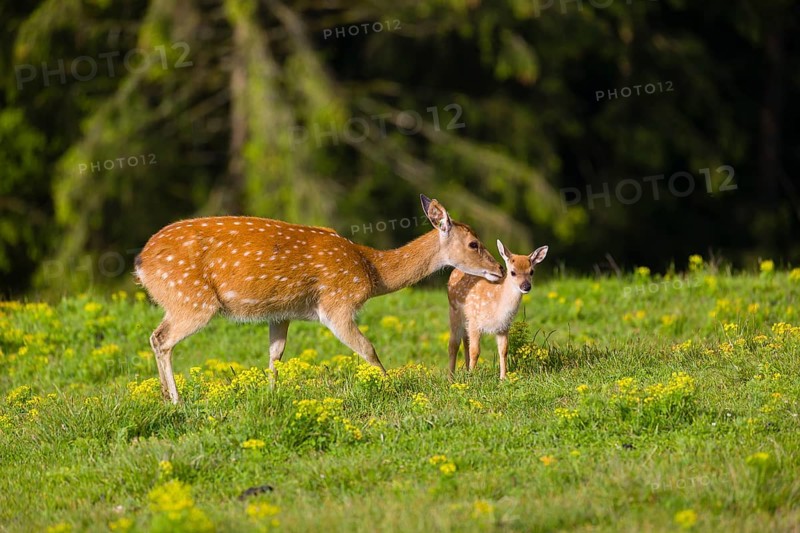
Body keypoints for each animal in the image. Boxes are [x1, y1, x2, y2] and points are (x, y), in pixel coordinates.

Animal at [134, 194, 504, 403]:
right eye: (474, 244)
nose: (500, 269)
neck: (370, 270)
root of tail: (141, 262)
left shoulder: (280, 312)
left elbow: (275, 355)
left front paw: (271, 395)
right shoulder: (336, 302)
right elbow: (367, 348)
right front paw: (392, 386)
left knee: (155, 337)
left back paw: (166, 397)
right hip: (192, 299)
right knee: (161, 339)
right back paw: (175, 400)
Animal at [447, 240, 548, 380]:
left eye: (532, 271)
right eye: (512, 272)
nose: (526, 286)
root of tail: (455, 271)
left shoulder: (503, 327)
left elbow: (504, 350)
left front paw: (503, 378)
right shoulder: (475, 321)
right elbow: (475, 351)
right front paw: (472, 379)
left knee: (465, 341)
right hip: (454, 311)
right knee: (453, 344)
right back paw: (451, 378)